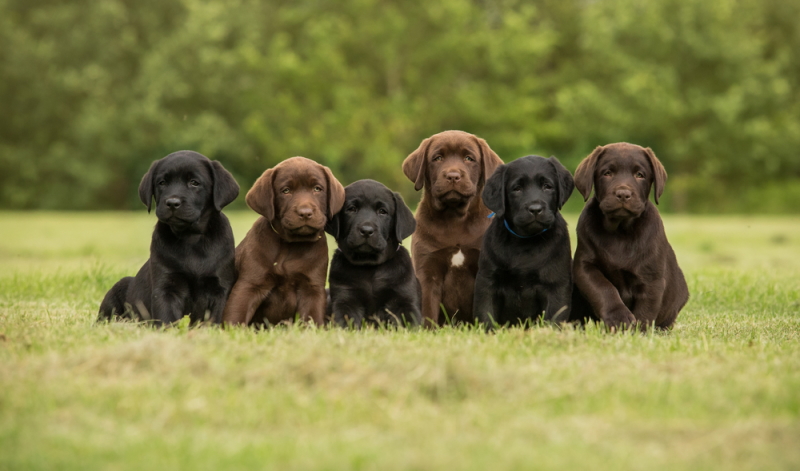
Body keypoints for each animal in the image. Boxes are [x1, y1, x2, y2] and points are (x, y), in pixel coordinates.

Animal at [96, 150, 238, 324]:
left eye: (194, 183)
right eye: (162, 182)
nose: (172, 203)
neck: (190, 238)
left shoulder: (220, 288)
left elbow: (214, 318)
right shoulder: (165, 287)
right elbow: (166, 317)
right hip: (118, 290)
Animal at [326, 181, 424, 328]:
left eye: (382, 211)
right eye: (352, 209)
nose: (366, 230)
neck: (370, 267)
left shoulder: (404, 299)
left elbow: (410, 323)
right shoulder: (344, 298)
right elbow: (346, 322)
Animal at [476, 157, 576, 330]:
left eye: (547, 186)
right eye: (517, 189)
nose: (535, 209)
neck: (526, 241)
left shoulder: (556, 285)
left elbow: (554, 317)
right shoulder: (487, 282)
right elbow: (486, 314)